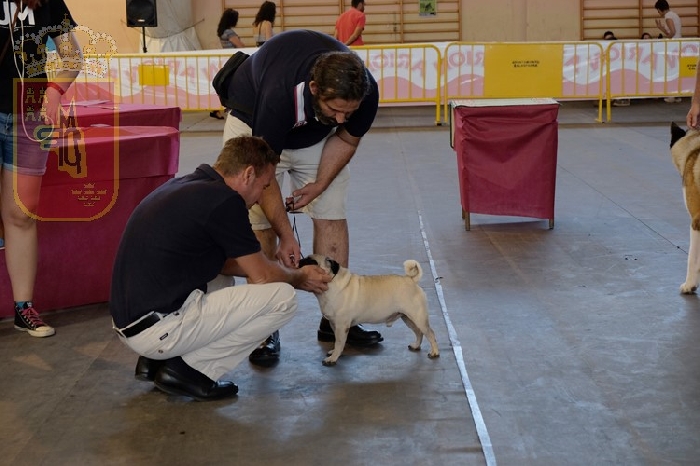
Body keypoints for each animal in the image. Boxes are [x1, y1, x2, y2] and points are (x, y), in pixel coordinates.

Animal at [298, 254, 440, 366]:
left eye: (311, 262)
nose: (299, 261)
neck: (331, 284)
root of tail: (411, 280)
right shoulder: (334, 324)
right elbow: (337, 342)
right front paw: (334, 353)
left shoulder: (341, 326)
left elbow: (339, 342)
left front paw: (333, 358)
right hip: (408, 318)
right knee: (419, 333)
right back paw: (416, 346)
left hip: (418, 317)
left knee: (430, 333)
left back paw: (434, 352)